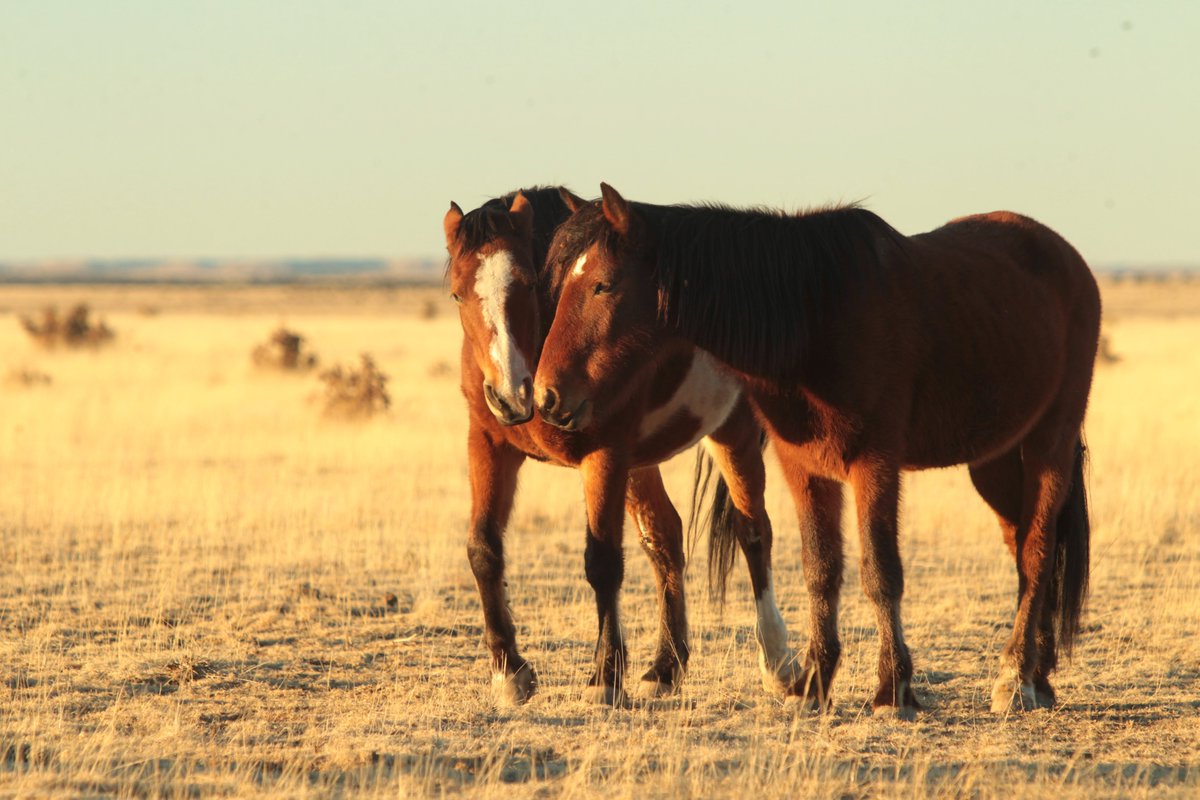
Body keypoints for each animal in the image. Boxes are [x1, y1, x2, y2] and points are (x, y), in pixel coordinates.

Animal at [444, 188, 787, 705]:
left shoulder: (603, 455)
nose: (512, 394)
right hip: (641, 465)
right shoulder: (489, 443)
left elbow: (602, 561)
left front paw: (604, 677)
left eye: (528, 283)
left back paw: (779, 663)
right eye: (457, 293)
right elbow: (483, 548)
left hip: (733, 434)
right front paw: (509, 672)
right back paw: (665, 667)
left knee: (753, 533)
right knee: (665, 537)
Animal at [535, 183, 1099, 719]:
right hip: (995, 459)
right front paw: (814, 685)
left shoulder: (875, 464)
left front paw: (892, 689)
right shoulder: (803, 467)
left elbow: (880, 572)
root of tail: (1068, 258)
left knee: (1037, 550)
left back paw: (1016, 678)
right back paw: (1039, 675)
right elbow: (820, 569)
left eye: (603, 283)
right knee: (1024, 546)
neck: (813, 315)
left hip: (1049, 442)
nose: (546, 396)